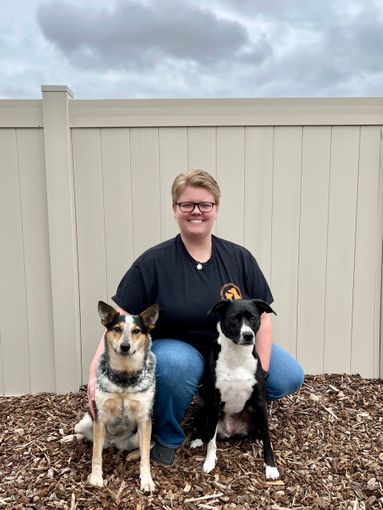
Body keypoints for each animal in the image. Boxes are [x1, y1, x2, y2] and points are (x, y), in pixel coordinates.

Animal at [63, 300, 159, 492]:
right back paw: (70, 438)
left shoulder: (144, 419)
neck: (124, 376)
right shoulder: (100, 417)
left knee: (149, 445)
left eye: (136, 331)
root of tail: (113, 442)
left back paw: (133, 454)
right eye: (117, 329)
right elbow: (96, 455)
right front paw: (95, 478)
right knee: (87, 437)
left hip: (137, 435)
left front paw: (147, 480)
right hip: (85, 422)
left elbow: (146, 456)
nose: (125, 346)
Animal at [191, 296, 280, 480]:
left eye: (253, 317)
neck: (237, 355)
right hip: (203, 411)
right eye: (234, 318)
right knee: (206, 432)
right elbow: (211, 440)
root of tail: (232, 432)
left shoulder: (260, 402)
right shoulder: (213, 403)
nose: (248, 335)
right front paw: (209, 461)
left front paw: (270, 467)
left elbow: (268, 439)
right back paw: (197, 439)